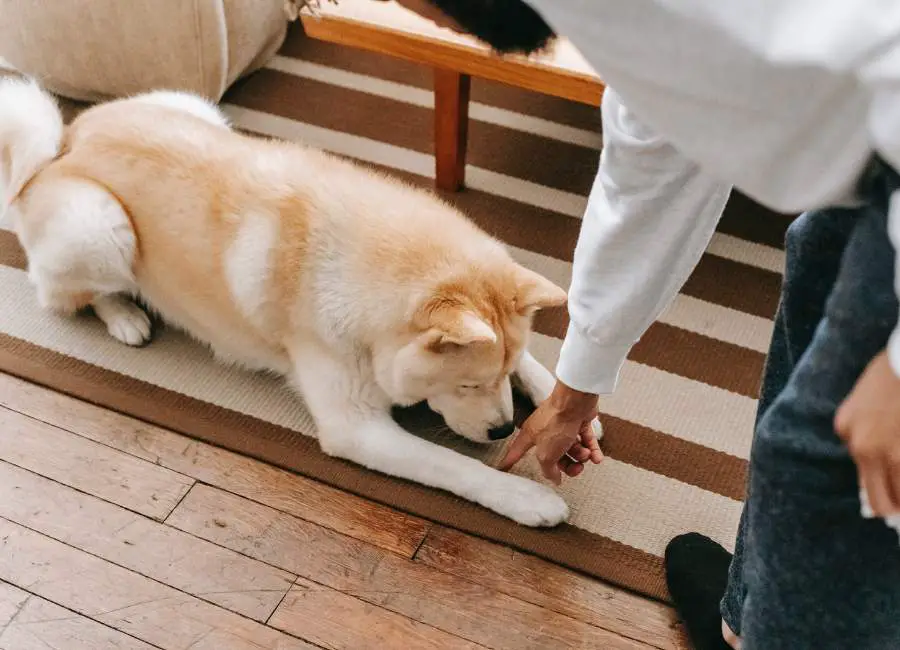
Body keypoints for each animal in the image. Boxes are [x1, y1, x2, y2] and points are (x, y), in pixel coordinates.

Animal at [3, 63, 600, 524]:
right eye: (469, 385)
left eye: (501, 375)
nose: (505, 427)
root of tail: (62, 146)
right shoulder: (354, 427)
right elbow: (454, 465)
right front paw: (525, 497)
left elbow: (541, 368)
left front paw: (573, 410)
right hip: (100, 225)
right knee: (63, 290)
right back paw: (125, 316)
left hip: (194, 108)